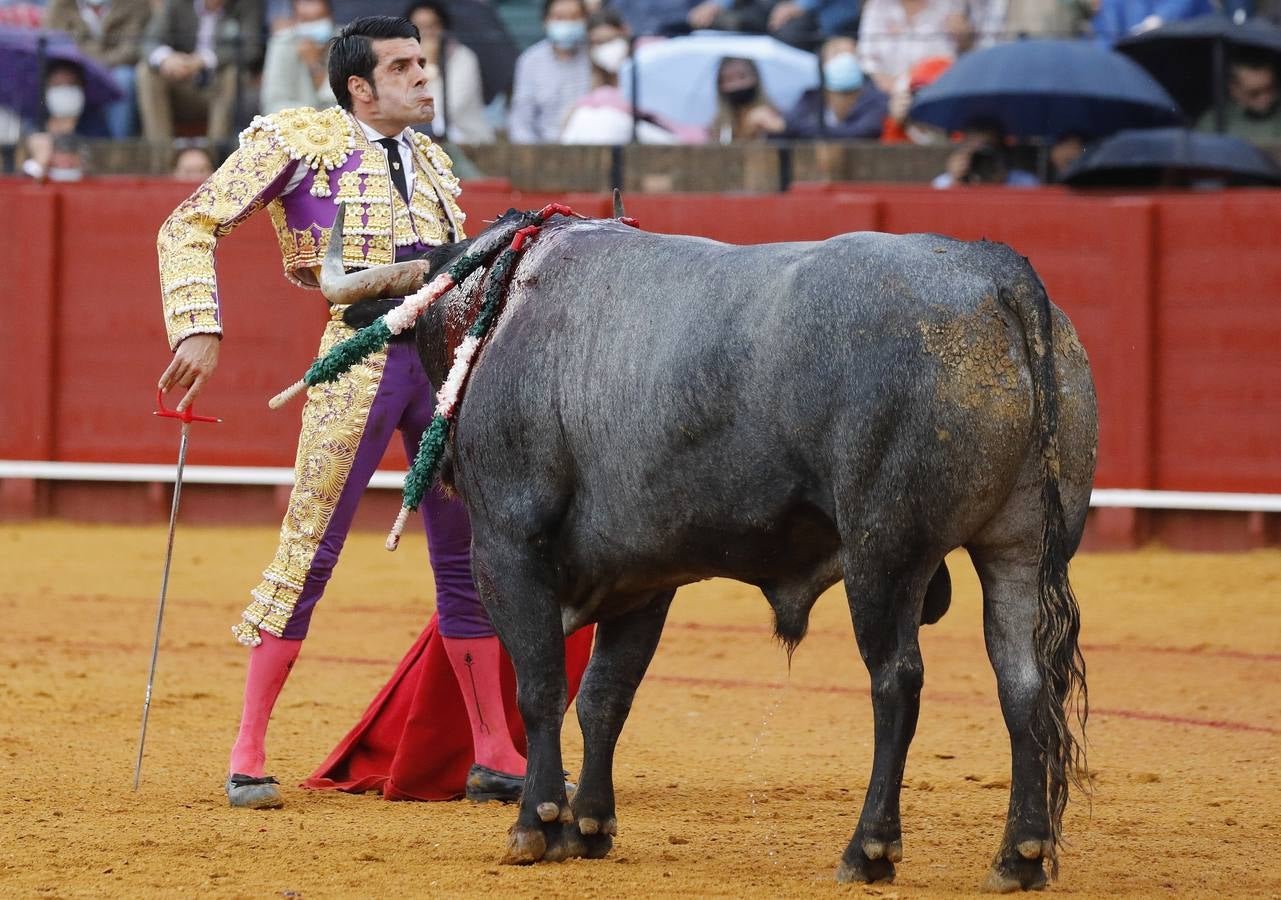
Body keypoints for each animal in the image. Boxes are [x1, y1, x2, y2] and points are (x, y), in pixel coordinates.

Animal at [325, 200, 1096, 891]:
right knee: (1023, 684)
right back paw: (1019, 856)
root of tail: (993, 272)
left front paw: (536, 825)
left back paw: (869, 849)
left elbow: (541, 686)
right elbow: (604, 696)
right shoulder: (640, 578)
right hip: (1019, 548)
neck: (502, 302)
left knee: (896, 679)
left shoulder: (508, 547)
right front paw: (589, 827)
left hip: (885, 552)